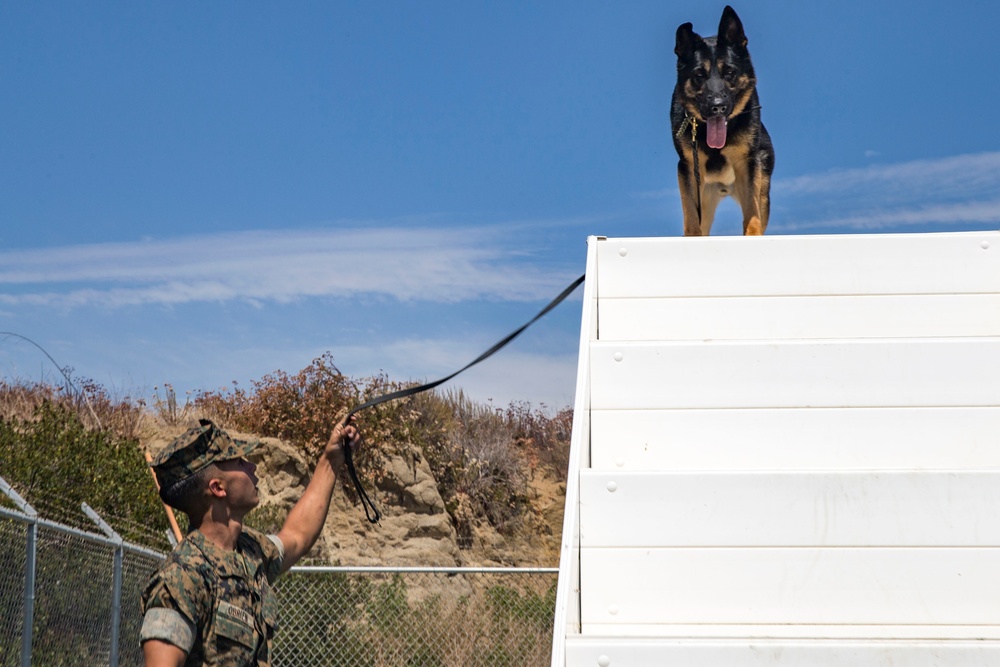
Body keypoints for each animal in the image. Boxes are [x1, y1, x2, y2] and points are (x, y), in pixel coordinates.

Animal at [672, 6, 772, 236]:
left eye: (729, 72)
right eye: (699, 75)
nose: (717, 106)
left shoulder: (748, 165)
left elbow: (751, 211)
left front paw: (752, 235)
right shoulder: (688, 168)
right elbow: (691, 215)